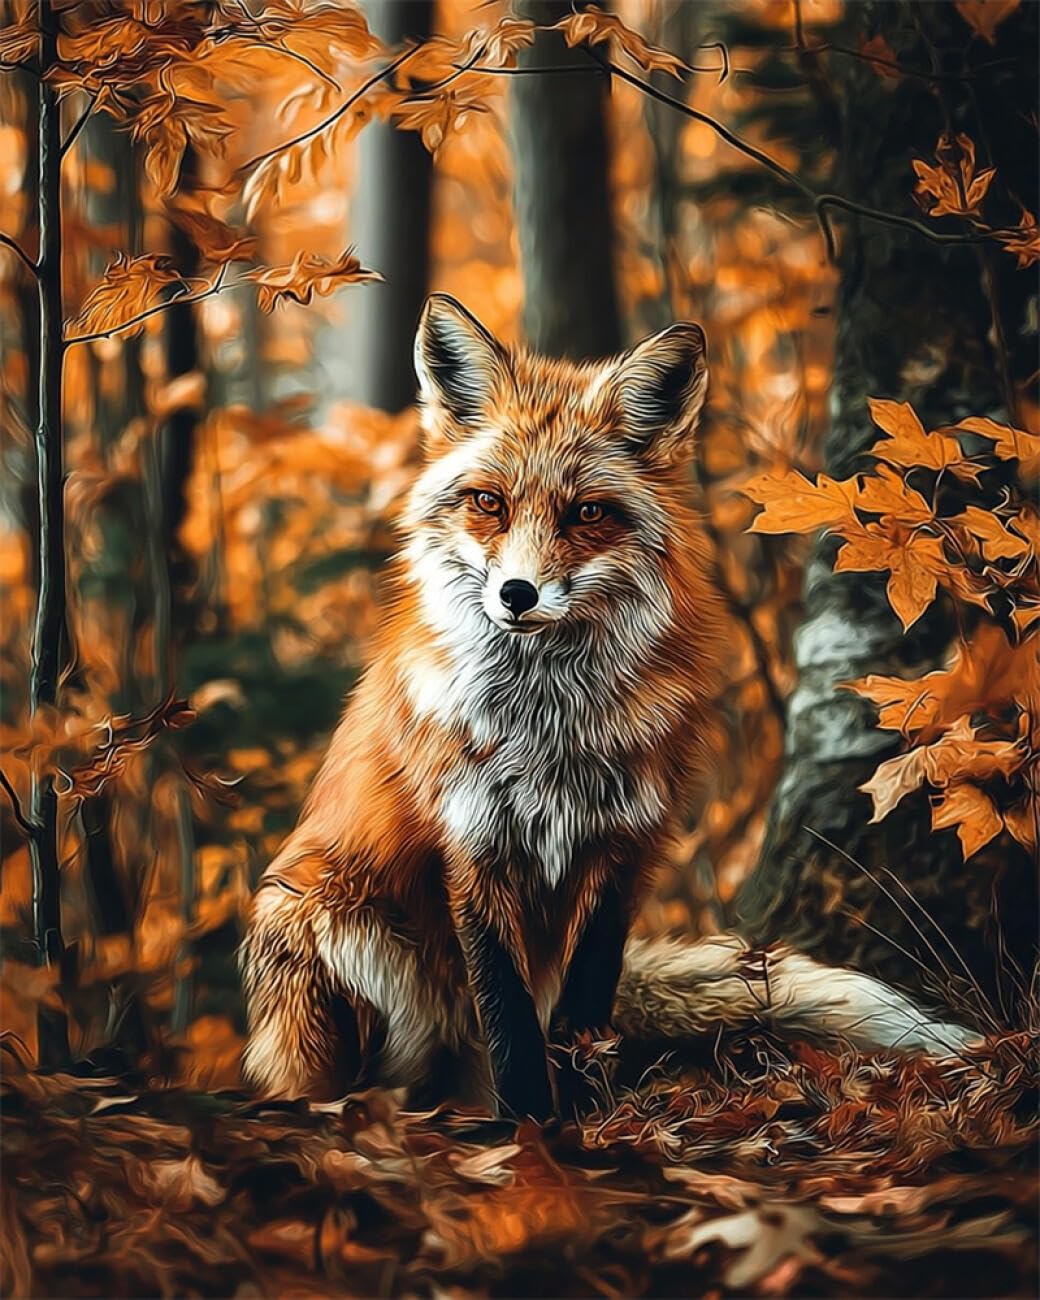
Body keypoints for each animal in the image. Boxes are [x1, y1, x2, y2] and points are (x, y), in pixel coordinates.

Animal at [241, 295, 978, 1120]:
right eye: (489, 503)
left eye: (587, 513)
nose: (517, 595)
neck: (548, 727)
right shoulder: (472, 844)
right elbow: (507, 1014)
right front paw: (529, 1126)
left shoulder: (627, 842)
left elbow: (585, 1000)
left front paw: (588, 1111)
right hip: (319, 912)